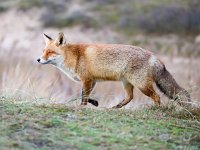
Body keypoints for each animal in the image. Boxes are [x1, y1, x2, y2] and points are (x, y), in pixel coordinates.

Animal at [37, 32, 191, 108]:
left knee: (157, 97)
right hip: (127, 83)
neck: (75, 56)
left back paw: (157, 109)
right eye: (43, 51)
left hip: (142, 85)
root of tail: (154, 56)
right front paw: (94, 103)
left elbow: (84, 96)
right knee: (130, 97)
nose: (38, 59)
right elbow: (84, 95)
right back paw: (116, 107)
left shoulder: (87, 79)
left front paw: (83, 107)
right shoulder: (92, 81)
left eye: (50, 52)